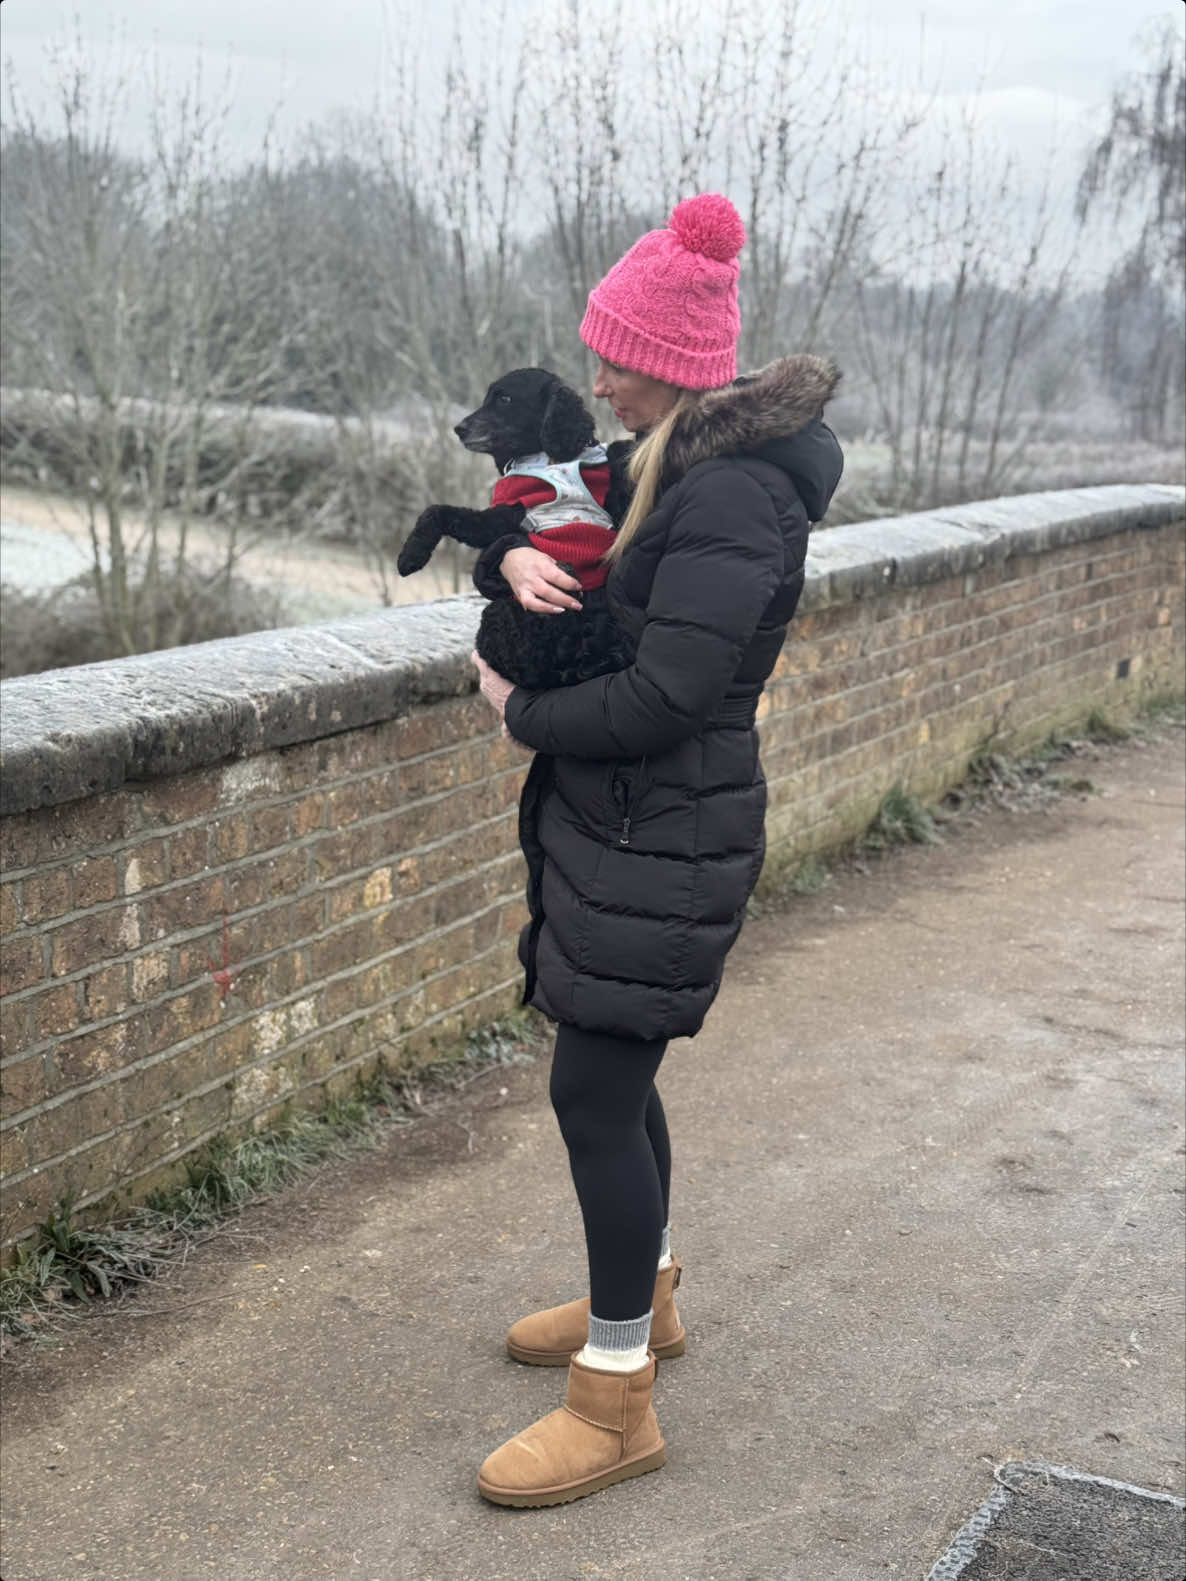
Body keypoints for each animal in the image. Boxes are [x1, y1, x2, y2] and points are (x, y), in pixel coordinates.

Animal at [396, 373, 642, 695]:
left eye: (505, 399)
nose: (459, 428)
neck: (548, 455)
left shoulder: (505, 512)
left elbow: (438, 511)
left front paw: (410, 556)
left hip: (494, 620)